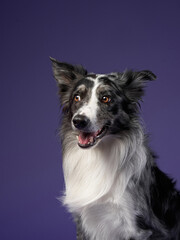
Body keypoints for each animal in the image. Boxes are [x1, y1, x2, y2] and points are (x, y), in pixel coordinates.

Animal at [50, 57, 180, 239]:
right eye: (77, 97)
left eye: (106, 98)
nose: (79, 121)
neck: (99, 154)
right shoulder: (84, 223)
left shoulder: (139, 228)